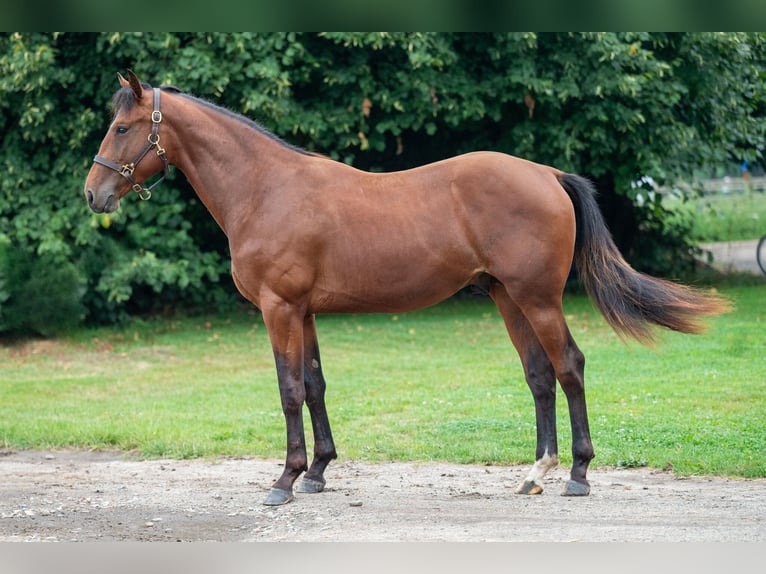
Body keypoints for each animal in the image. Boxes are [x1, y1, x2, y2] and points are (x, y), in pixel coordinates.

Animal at [84, 72, 732, 508]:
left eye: (122, 128)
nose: (94, 194)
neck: (266, 188)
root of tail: (547, 173)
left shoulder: (279, 309)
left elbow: (289, 390)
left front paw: (285, 480)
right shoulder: (305, 312)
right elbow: (315, 386)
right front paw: (318, 472)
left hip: (538, 298)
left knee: (568, 366)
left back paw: (577, 474)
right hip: (508, 298)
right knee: (539, 376)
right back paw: (535, 473)